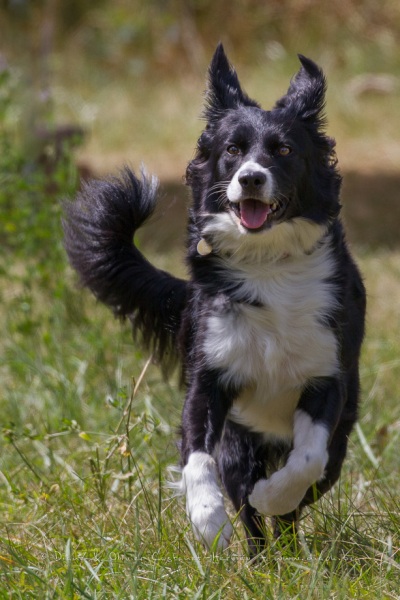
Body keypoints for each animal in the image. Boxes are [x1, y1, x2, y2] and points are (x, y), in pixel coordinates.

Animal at [65, 44, 366, 556]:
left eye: (284, 150)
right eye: (232, 150)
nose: (250, 179)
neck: (268, 264)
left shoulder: (326, 378)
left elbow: (308, 459)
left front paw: (273, 494)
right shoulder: (210, 376)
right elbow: (197, 459)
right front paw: (209, 525)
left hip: (339, 432)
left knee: (307, 486)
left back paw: (282, 537)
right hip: (240, 439)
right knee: (243, 496)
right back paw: (259, 553)